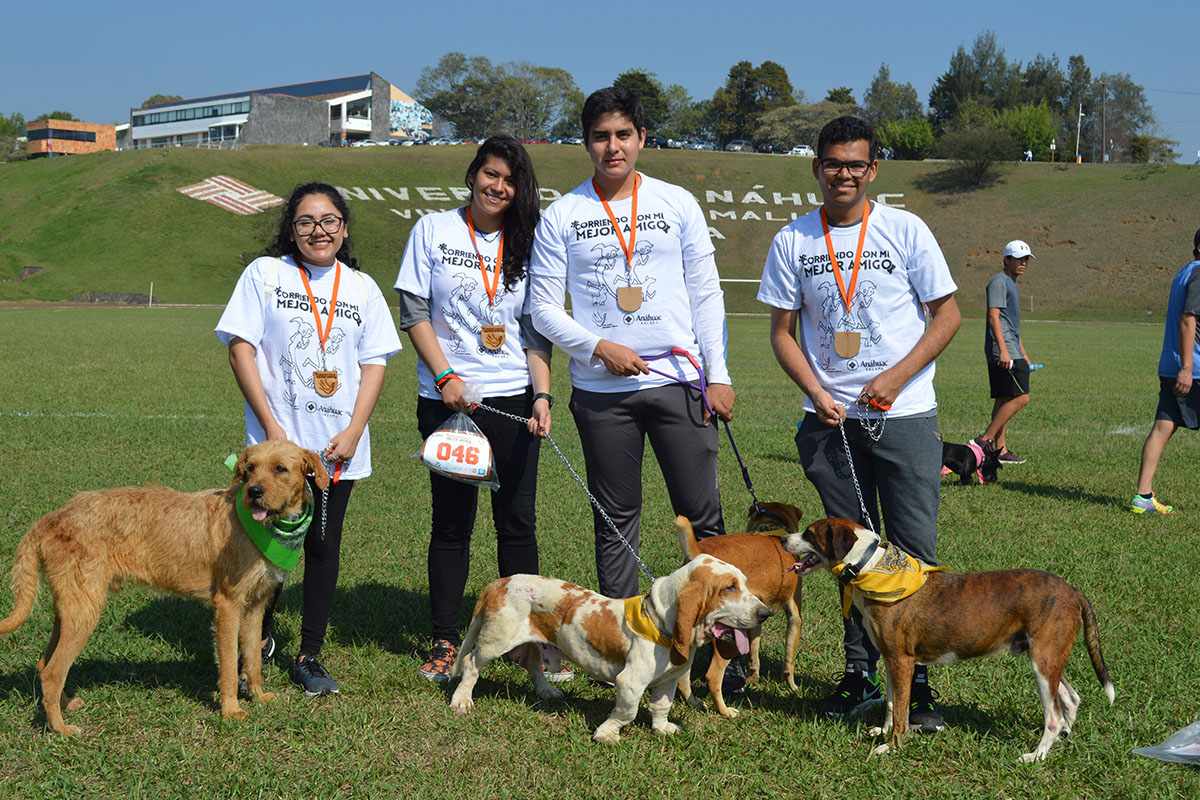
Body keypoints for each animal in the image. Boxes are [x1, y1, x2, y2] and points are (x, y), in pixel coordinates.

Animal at [0, 441, 328, 734]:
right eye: (250, 469)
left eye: (280, 468)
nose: (254, 493)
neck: (264, 528)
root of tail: (49, 518)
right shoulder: (228, 605)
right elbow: (228, 668)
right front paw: (230, 710)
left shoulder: (255, 607)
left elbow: (252, 659)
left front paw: (258, 696)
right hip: (85, 611)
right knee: (52, 672)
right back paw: (60, 728)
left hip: (69, 609)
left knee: (44, 665)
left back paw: (64, 704)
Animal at [448, 537, 768, 743]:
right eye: (729, 587)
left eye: (744, 582)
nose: (764, 613)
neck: (661, 622)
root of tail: (498, 583)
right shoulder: (630, 683)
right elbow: (627, 712)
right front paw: (606, 734)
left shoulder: (668, 680)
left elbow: (660, 707)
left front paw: (663, 728)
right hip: (495, 640)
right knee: (471, 663)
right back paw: (462, 701)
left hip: (532, 642)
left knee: (532, 665)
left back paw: (547, 692)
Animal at [681, 503, 801, 714]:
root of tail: (700, 551)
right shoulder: (794, 614)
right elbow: (789, 658)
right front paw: (792, 687)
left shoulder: (755, 617)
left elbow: (753, 653)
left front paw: (753, 678)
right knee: (713, 677)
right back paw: (726, 712)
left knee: (682, 677)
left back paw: (693, 703)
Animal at [777, 520, 1113, 762]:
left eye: (809, 533)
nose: (782, 539)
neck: (872, 569)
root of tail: (1073, 591)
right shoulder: (890, 659)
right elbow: (891, 703)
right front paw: (883, 731)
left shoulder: (902, 661)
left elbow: (901, 711)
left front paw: (892, 746)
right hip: (1049, 657)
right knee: (1071, 698)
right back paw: (1063, 738)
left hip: (1043, 662)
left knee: (1053, 716)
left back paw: (1037, 755)